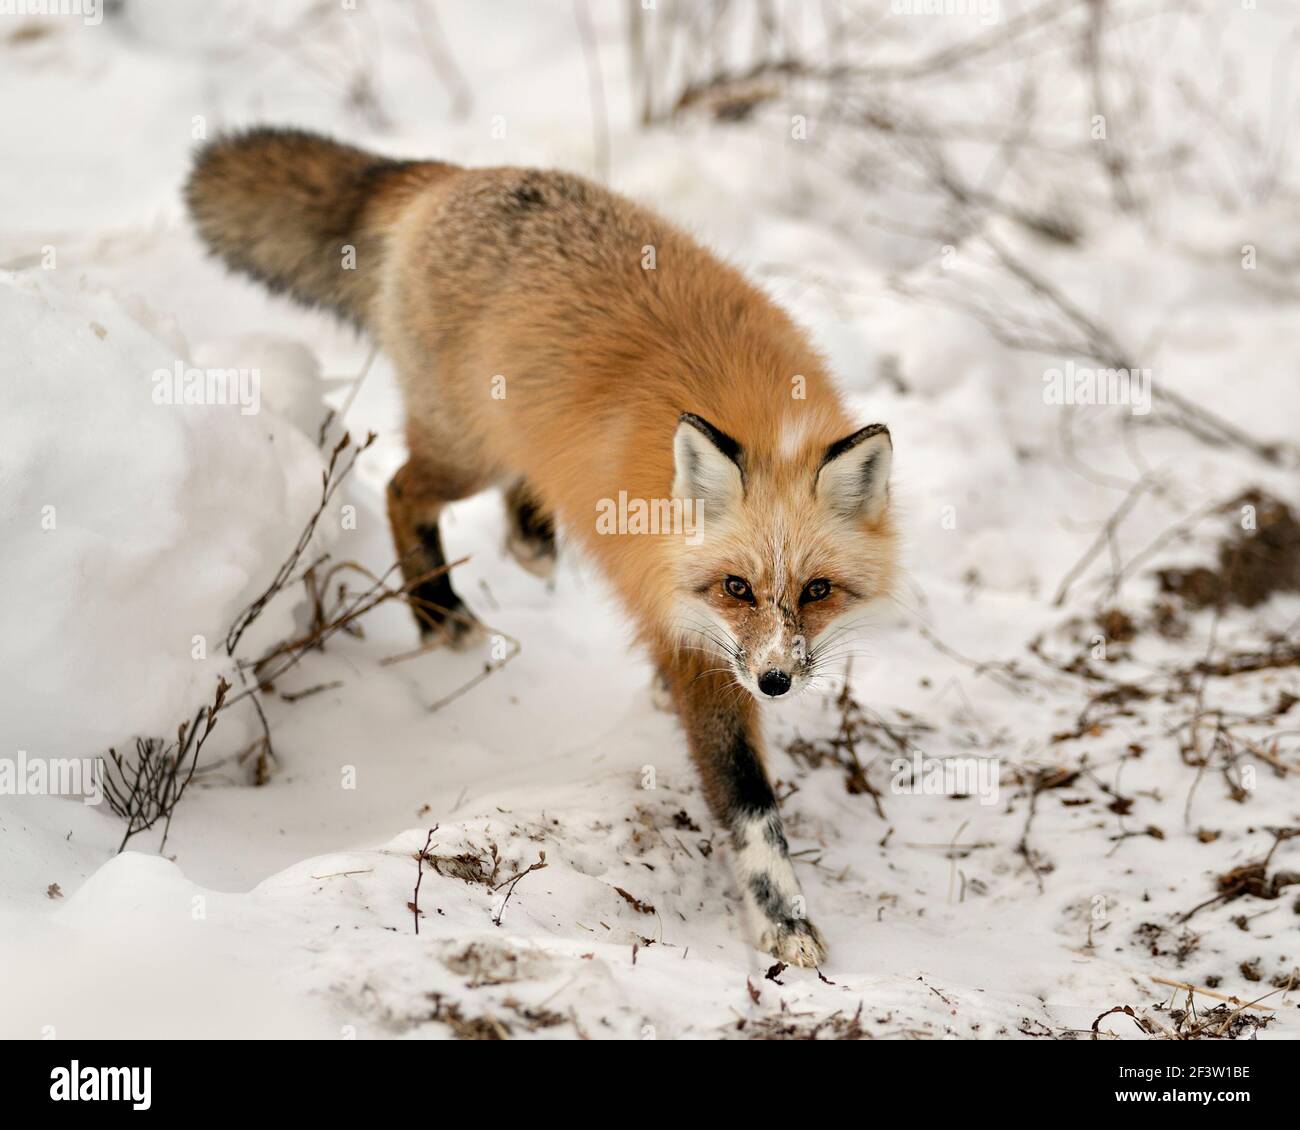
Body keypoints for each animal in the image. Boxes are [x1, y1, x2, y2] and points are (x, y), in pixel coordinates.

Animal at [188, 128, 899, 967]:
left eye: (817, 591)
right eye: (738, 587)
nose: (776, 682)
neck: (767, 428)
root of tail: (454, 177)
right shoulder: (693, 644)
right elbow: (746, 798)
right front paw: (781, 919)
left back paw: (528, 536)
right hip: (468, 449)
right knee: (399, 488)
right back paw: (439, 611)